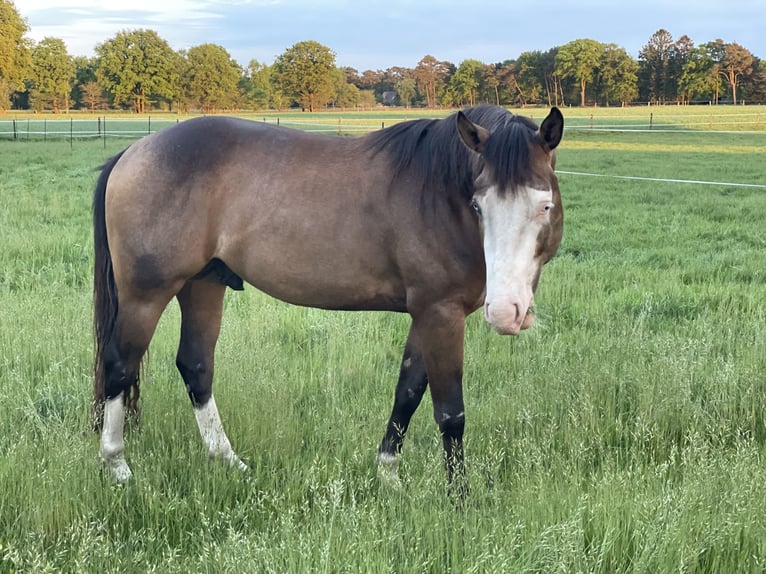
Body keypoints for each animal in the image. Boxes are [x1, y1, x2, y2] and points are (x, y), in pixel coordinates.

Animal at [93, 105, 564, 492]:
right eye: (478, 205)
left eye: (544, 206)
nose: (505, 313)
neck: (438, 192)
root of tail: (134, 151)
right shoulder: (441, 315)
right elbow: (450, 413)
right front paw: (459, 500)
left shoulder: (425, 315)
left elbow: (407, 393)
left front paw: (388, 476)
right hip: (146, 295)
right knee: (118, 366)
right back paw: (117, 467)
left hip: (203, 284)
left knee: (195, 366)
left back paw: (229, 461)